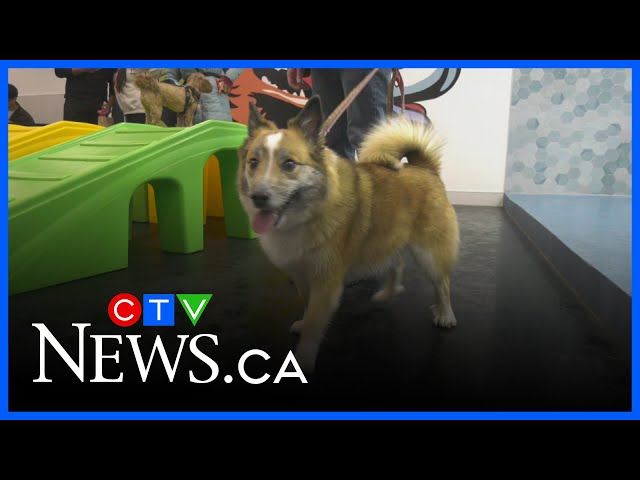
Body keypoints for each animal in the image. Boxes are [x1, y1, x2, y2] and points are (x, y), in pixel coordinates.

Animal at [238, 97, 458, 374]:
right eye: (253, 163)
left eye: (289, 164)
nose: (258, 197)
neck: (308, 214)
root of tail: (425, 168)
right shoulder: (302, 276)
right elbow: (307, 308)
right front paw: (302, 323)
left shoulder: (326, 282)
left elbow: (314, 324)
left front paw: (303, 360)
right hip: (387, 238)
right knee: (396, 263)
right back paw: (388, 293)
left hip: (429, 253)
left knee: (443, 284)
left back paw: (445, 314)